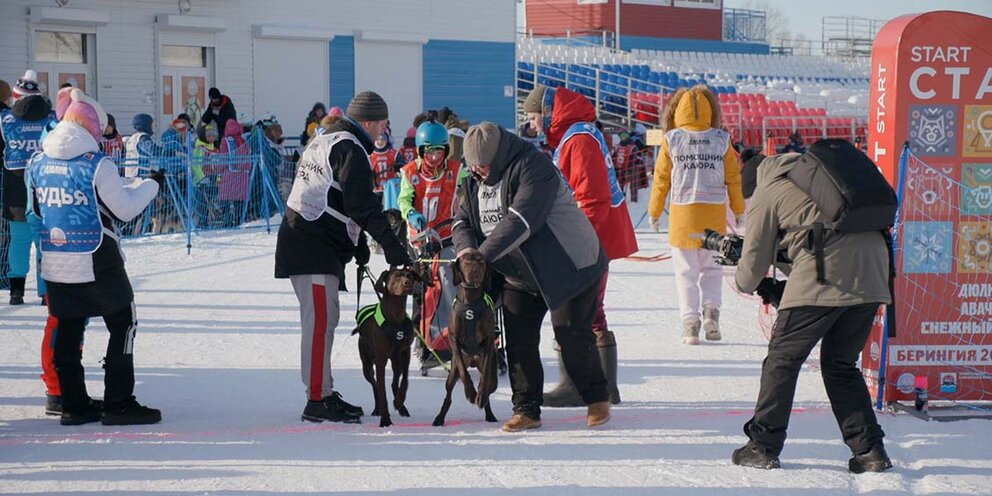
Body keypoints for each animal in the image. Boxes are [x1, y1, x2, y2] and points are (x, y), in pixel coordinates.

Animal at [352, 270, 418, 428]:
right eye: (396, 276)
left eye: (409, 275)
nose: (407, 283)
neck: (396, 316)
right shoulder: (380, 359)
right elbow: (381, 389)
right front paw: (385, 420)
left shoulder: (405, 352)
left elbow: (404, 380)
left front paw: (399, 402)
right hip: (367, 364)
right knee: (375, 385)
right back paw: (378, 409)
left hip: (395, 360)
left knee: (394, 381)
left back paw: (401, 406)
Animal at [430, 252, 500, 426]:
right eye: (467, 261)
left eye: (481, 262)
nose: (476, 272)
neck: (471, 301)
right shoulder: (454, 340)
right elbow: (463, 371)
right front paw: (470, 391)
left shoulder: (489, 342)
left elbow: (485, 378)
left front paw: (479, 394)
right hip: (452, 373)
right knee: (448, 395)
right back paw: (439, 418)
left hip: (490, 370)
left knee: (489, 387)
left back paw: (488, 412)